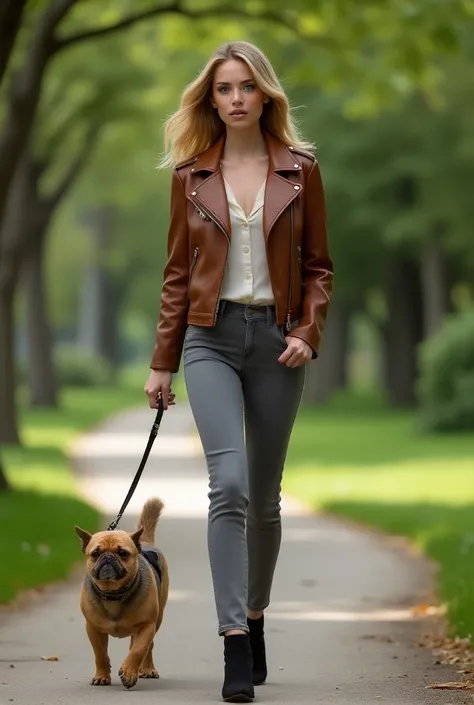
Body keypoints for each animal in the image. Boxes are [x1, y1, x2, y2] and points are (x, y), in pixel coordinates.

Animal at [74, 496, 168, 688]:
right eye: (95, 553)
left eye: (123, 553)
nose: (108, 558)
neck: (113, 593)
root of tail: (145, 542)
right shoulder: (93, 629)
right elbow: (100, 654)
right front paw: (102, 676)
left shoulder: (147, 625)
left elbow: (139, 649)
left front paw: (129, 672)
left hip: (157, 619)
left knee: (147, 646)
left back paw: (146, 669)